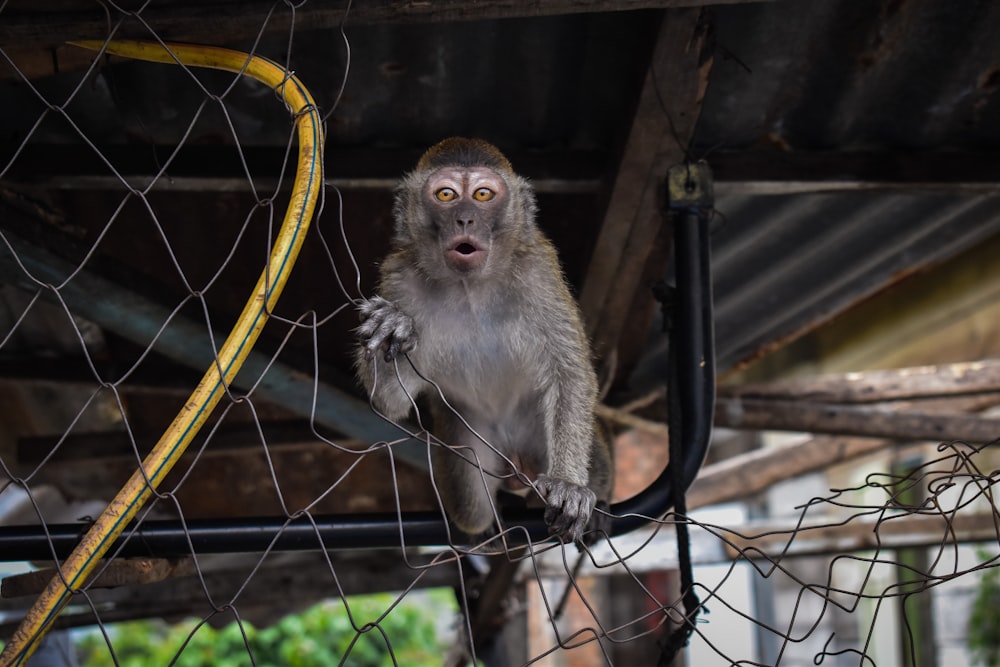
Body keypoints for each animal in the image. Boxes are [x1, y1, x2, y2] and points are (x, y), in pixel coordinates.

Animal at [356, 138, 612, 544]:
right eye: (446, 195)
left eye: (482, 194)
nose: (465, 219)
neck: (469, 286)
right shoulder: (398, 278)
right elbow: (389, 403)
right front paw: (391, 325)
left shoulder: (538, 271)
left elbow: (569, 373)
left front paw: (569, 485)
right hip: (468, 440)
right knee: (472, 508)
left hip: (534, 428)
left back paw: (597, 503)